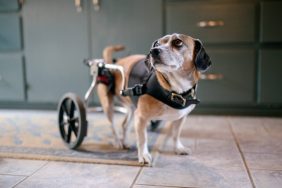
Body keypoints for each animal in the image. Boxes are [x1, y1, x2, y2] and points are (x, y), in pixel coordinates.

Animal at [96, 33, 210, 164]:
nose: (153, 51)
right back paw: (117, 142)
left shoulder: (180, 118)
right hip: (108, 106)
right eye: (157, 44)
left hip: (132, 109)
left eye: (178, 42)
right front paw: (144, 155)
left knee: (124, 125)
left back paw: (125, 142)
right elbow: (143, 138)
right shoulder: (141, 117)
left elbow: (176, 134)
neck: (174, 91)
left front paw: (178, 148)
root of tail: (114, 64)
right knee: (112, 126)